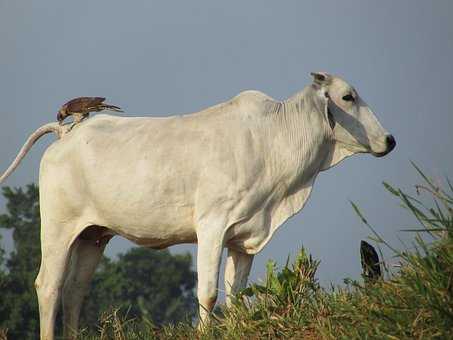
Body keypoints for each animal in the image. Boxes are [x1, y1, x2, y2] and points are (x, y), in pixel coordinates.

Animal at [0, 71, 394, 338]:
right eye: (347, 97)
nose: (390, 140)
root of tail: (68, 132)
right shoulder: (212, 226)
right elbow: (207, 294)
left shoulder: (244, 238)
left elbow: (236, 295)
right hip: (57, 227)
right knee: (49, 286)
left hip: (93, 235)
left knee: (75, 291)